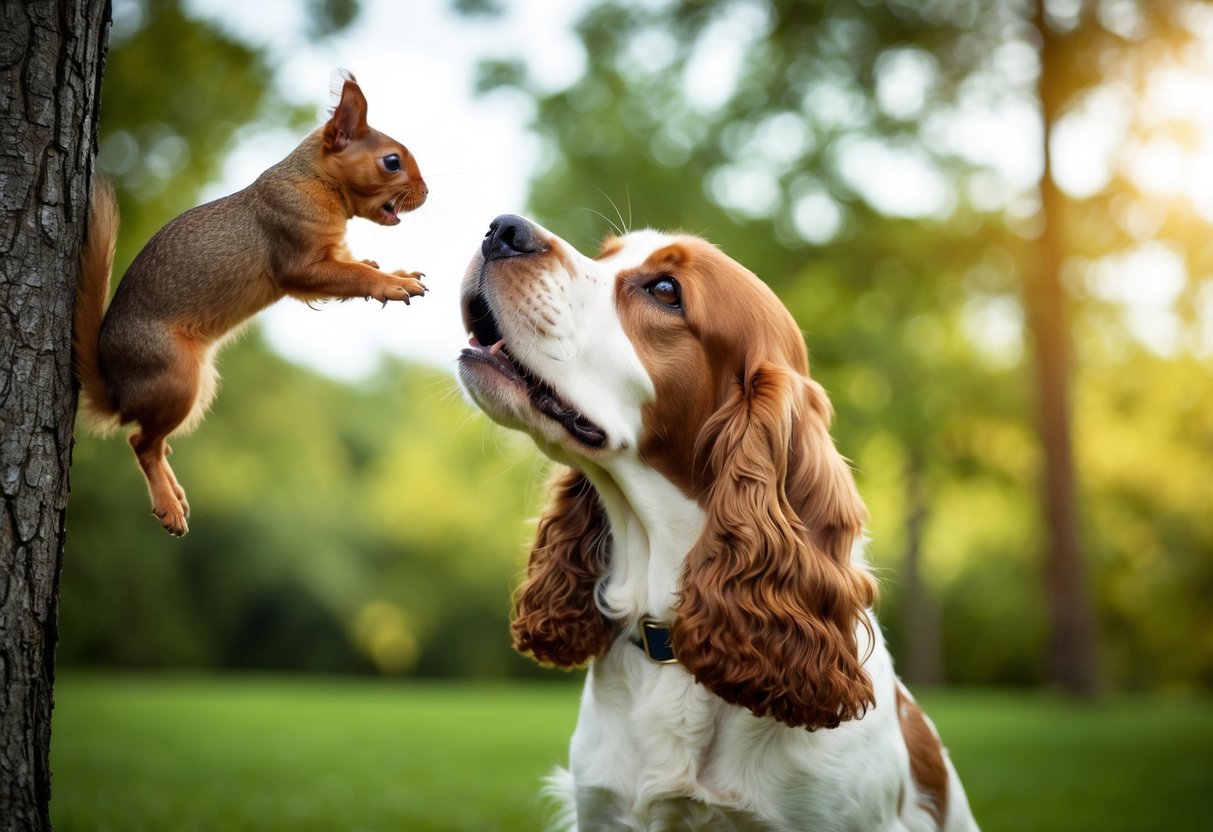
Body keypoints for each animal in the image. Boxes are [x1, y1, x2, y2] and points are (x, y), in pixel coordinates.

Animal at [73, 73, 427, 537]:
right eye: (391, 162)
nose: (426, 192)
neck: (316, 181)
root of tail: (117, 390)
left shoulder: (334, 252)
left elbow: (357, 265)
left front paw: (399, 272)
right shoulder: (299, 262)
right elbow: (353, 275)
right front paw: (391, 284)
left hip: (195, 390)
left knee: (158, 444)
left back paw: (176, 494)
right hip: (174, 377)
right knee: (141, 442)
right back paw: (168, 506)